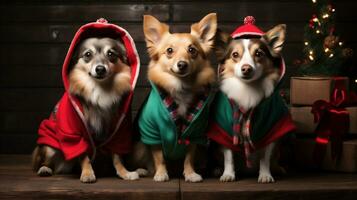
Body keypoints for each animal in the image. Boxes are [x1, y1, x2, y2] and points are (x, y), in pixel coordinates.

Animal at [32, 36, 140, 183]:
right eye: (88, 54)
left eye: (111, 54)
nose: (100, 69)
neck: (100, 89)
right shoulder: (74, 134)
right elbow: (83, 156)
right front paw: (87, 173)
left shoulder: (119, 131)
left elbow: (117, 157)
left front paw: (124, 173)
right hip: (49, 147)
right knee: (45, 161)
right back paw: (44, 169)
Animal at [137, 13, 216, 183]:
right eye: (169, 50)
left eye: (192, 50)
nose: (182, 64)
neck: (181, 88)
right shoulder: (152, 133)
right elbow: (158, 156)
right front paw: (161, 174)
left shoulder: (195, 133)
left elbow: (189, 157)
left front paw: (191, 173)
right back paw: (144, 170)